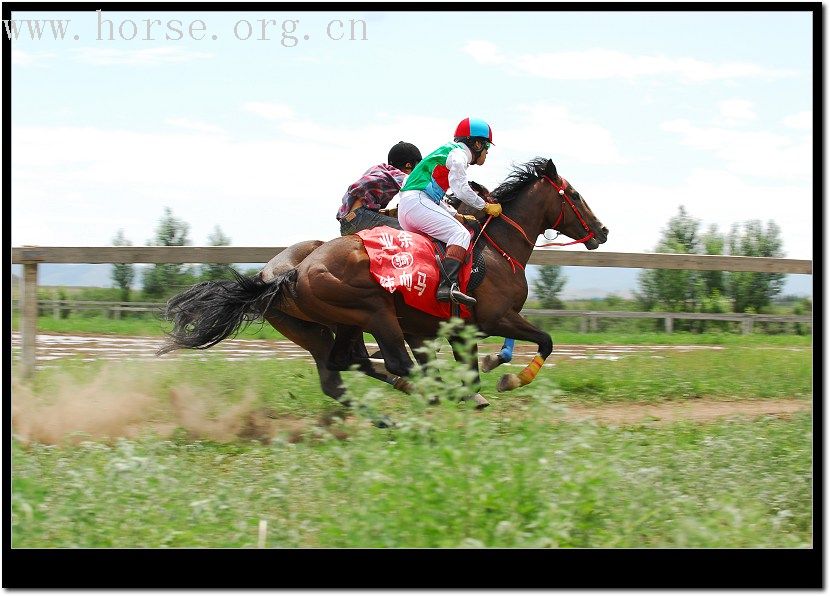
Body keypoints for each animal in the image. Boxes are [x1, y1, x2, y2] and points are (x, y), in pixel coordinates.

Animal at [159, 158, 608, 408]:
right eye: (574, 194)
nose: (602, 231)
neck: (496, 249)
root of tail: (290, 273)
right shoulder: (494, 317)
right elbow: (545, 341)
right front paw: (507, 380)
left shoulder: (456, 328)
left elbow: (476, 365)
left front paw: (481, 382)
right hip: (374, 311)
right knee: (389, 362)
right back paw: (421, 393)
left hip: (337, 325)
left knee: (343, 364)